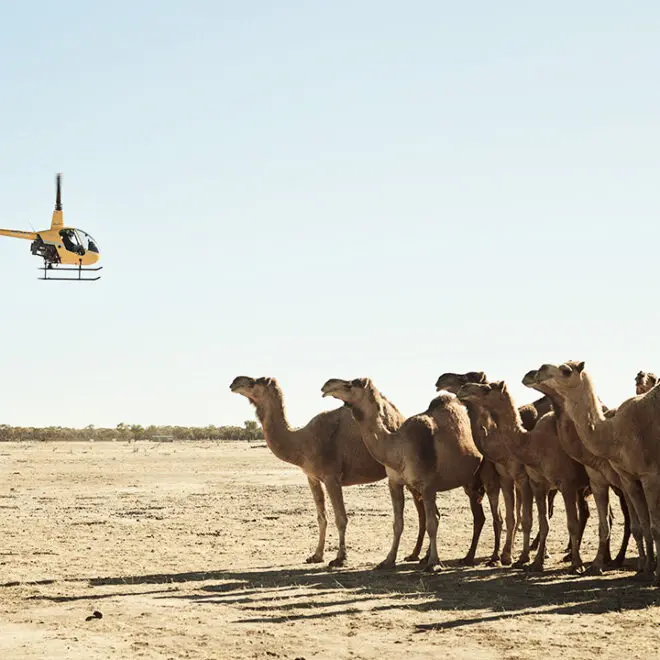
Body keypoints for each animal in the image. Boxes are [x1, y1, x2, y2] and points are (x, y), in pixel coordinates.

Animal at [230, 376, 428, 567]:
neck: (303, 442)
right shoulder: (312, 477)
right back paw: (414, 554)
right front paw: (316, 555)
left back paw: (419, 556)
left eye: (256, 381)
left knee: (422, 510)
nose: (234, 382)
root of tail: (399, 419)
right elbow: (321, 517)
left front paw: (340, 558)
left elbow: (341, 518)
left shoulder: (332, 477)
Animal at [321, 377, 483, 571]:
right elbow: (398, 524)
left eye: (351, 384)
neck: (397, 449)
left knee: (479, 517)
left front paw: (434, 563)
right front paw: (388, 560)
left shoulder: (428, 485)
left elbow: (432, 522)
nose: (326, 385)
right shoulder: (394, 483)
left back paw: (471, 557)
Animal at [456, 380, 591, 573]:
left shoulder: (533, 480)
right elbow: (519, 518)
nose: (463, 388)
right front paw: (518, 558)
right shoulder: (514, 479)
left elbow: (529, 519)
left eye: (487, 388)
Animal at [529, 361, 660, 581]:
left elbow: (652, 526)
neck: (615, 433)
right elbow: (634, 525)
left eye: (566, 370)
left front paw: (653, 571)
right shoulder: (625, 479)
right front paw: (643, 568)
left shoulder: (649, 476)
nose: (533, 372)